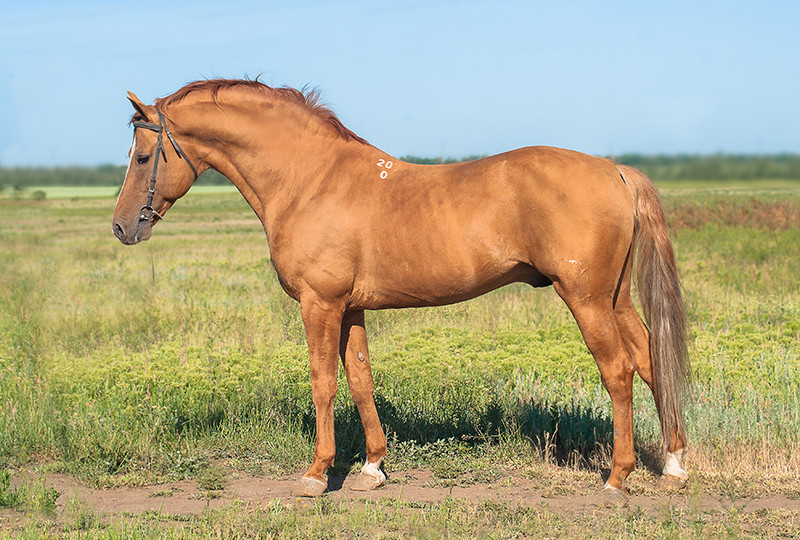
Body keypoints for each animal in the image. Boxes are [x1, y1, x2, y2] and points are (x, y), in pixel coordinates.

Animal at [113, 79, 690, 501]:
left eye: (142, 157)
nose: (121, 228)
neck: (310, 181)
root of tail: (614, 170)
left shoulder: (320, 305)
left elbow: (323, 382)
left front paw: (316, 475)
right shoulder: (350, 309)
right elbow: (360, 381)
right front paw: (372, 468)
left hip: (586, 299)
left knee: (617, 370)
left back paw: (617, 477)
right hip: (615, 298)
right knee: (650, 360)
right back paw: (674, 464)